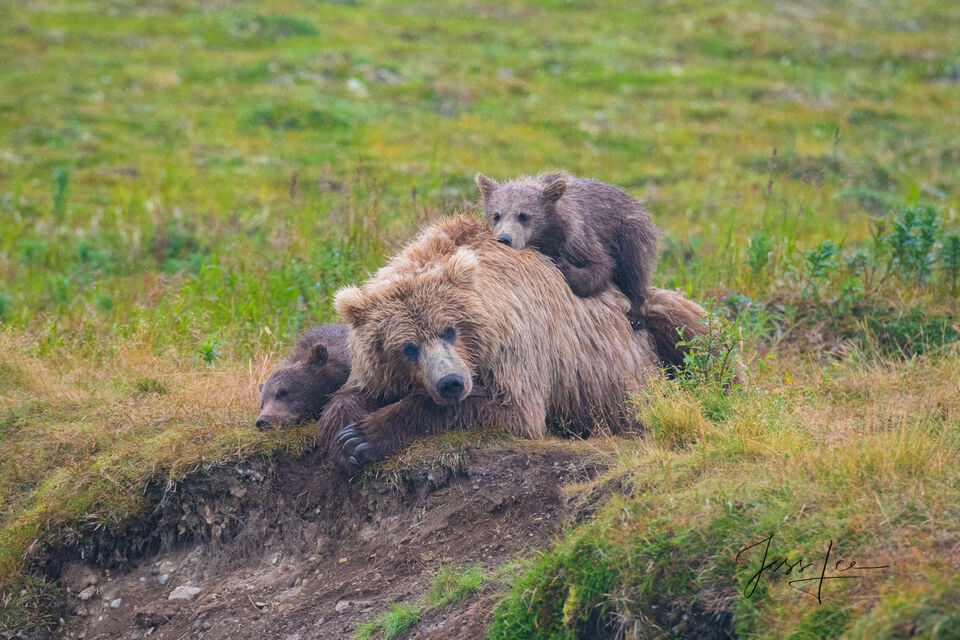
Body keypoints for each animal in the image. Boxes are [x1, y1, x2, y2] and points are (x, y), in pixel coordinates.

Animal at [318, 215, 672, 470]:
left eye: (449, 330)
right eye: (407, 347)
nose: (450, 382)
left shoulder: (518, 344)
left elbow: (512, 408)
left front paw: (364, 437)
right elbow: (348, 395)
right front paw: (344, 440)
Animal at [474, 171, 656, 328]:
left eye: (523, 215)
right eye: (496, 215)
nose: (505, 238)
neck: (548, 234)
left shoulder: (579, 236)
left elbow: (600, 265)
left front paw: (563, 264)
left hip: (629, 231)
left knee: (634, 268)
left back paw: (635, 315)